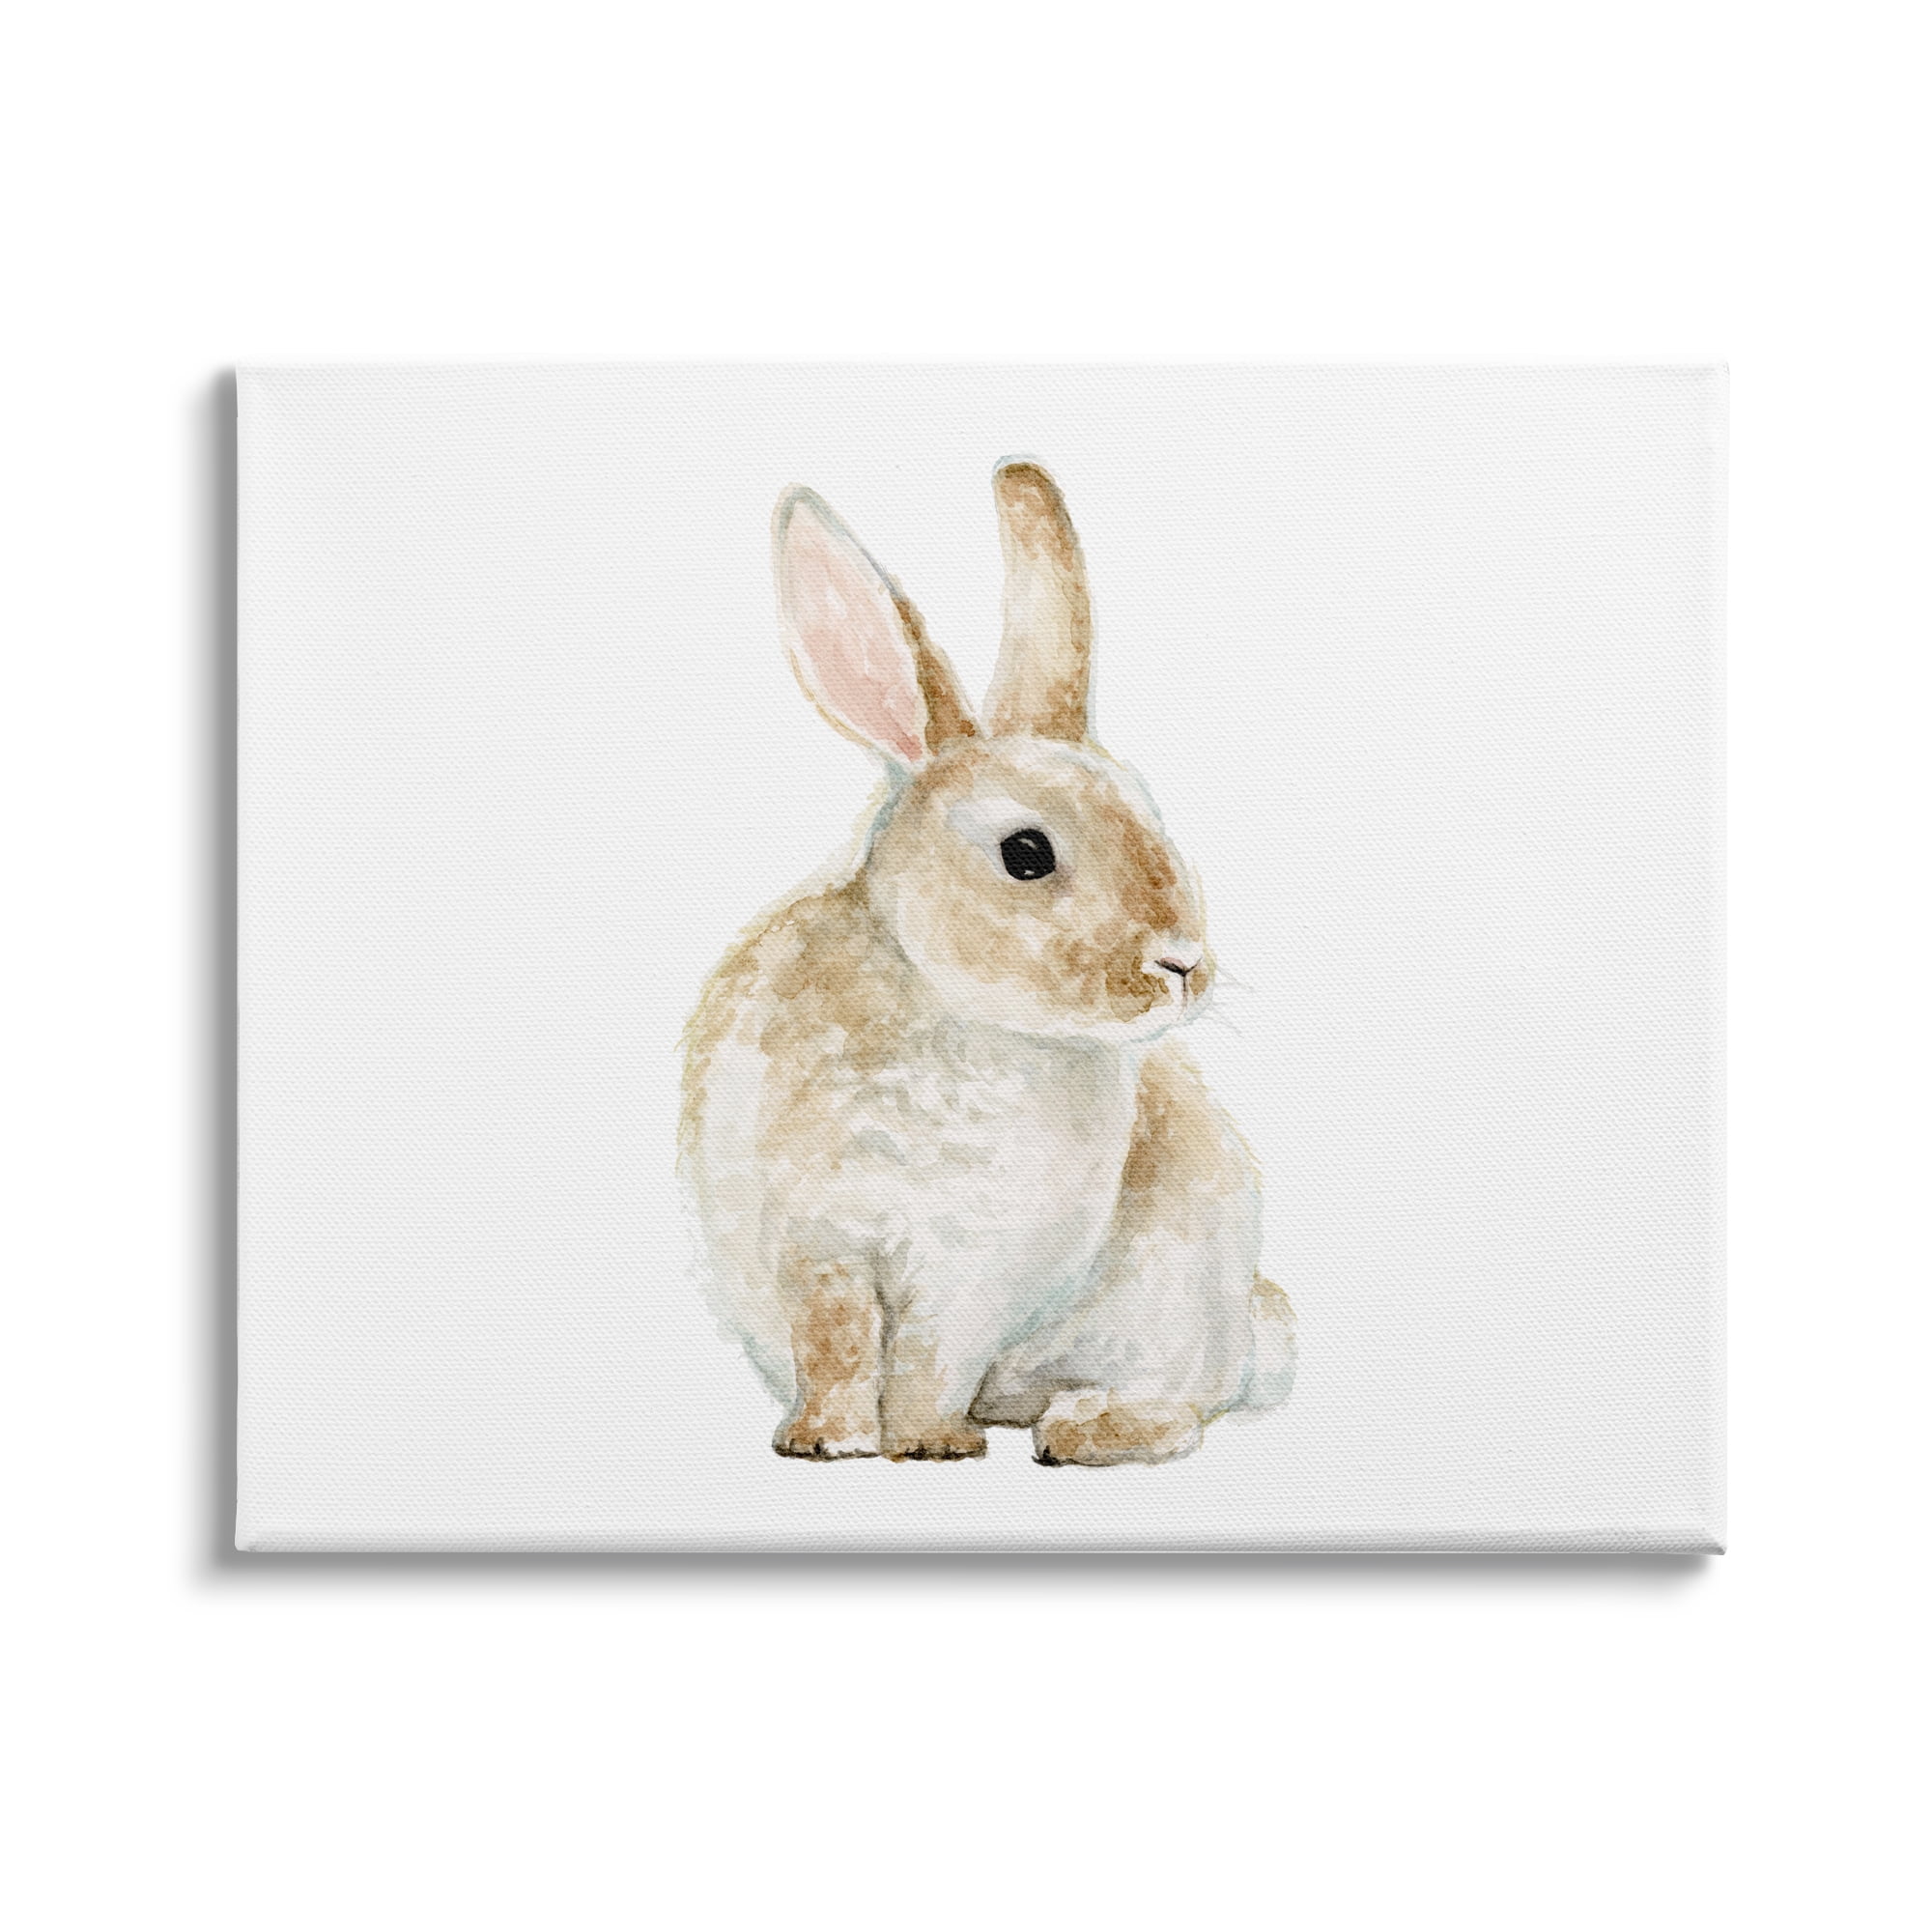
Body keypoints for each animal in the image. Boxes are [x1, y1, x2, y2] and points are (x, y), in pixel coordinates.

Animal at [679, 461, 1295, 1465]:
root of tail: (1259, 1325)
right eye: (1027, 854)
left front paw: (928, 1443)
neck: (954, 1015)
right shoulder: (818, 1241)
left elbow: (932, 1359)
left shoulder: (974, 1277)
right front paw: (826, 1439)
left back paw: (1087, 1428)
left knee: (1187, 1402)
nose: (1182, 965)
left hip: (1184, 1309)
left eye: (1150, 811)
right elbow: (837, 1339)